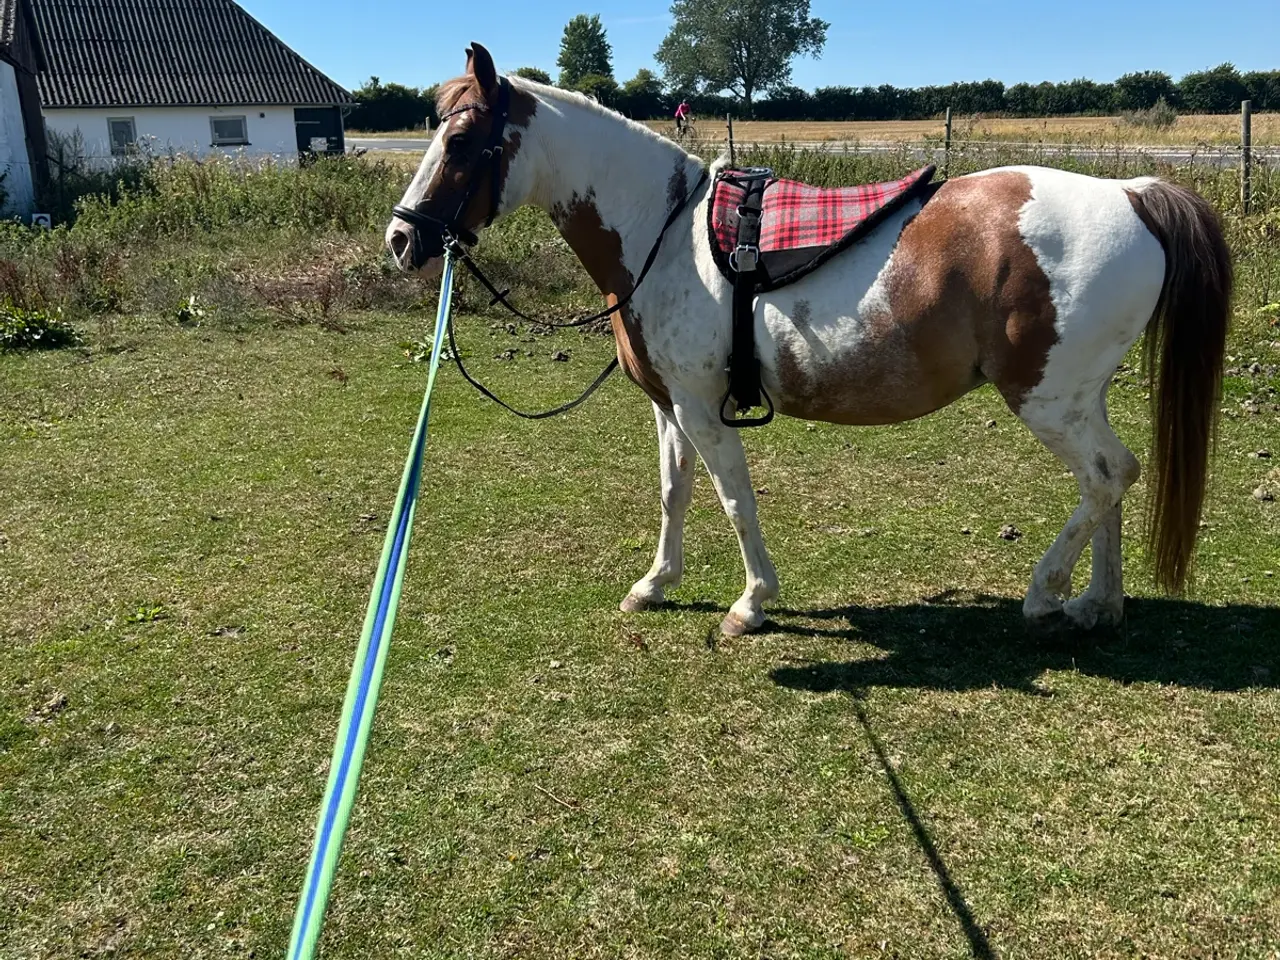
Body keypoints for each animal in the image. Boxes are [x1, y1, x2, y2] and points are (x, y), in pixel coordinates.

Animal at [386, 43, 1232, 637]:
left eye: (461, 142)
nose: (402, 239)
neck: (665, 232)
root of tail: (1132, 193)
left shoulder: (702, 408)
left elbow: (734, 499)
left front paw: (752, 602)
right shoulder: (669, 407)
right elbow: (673, 492)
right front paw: (655, 583)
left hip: (1047, 399)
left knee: (1106, 476)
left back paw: (1046, 593)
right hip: (1080, 398)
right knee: (1112, 479)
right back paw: (1098, 603)